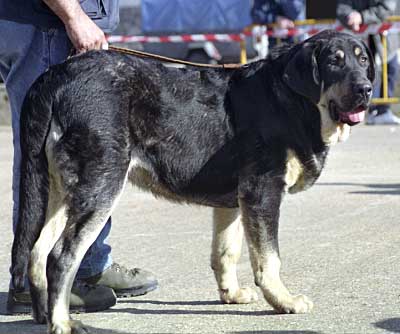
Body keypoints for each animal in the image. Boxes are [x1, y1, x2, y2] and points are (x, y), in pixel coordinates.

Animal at [11, 30, 376, 332]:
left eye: (362, 60)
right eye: (334, 62)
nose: (366, 89)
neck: (291, 100)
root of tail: (55, 77)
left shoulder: (235, 200)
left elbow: (226, 252)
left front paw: (231, 294)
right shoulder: (263, 192)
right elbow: (269, 258)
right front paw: (284, 301)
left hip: (61, 190)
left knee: (37, 251)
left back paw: (43, 315)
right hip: (101, 184)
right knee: (61, 256)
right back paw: (62, 323)